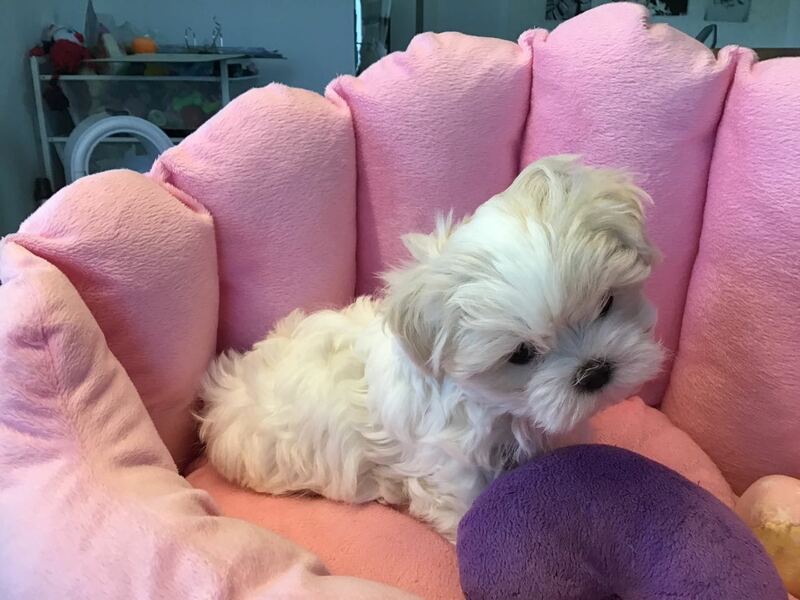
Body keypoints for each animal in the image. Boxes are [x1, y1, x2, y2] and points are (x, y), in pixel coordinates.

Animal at [198, 155, 664, 541]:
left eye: (606, 303)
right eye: (521, 354)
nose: (595, 372)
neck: (501, 407)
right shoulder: (448, 461)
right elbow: (466, 503)